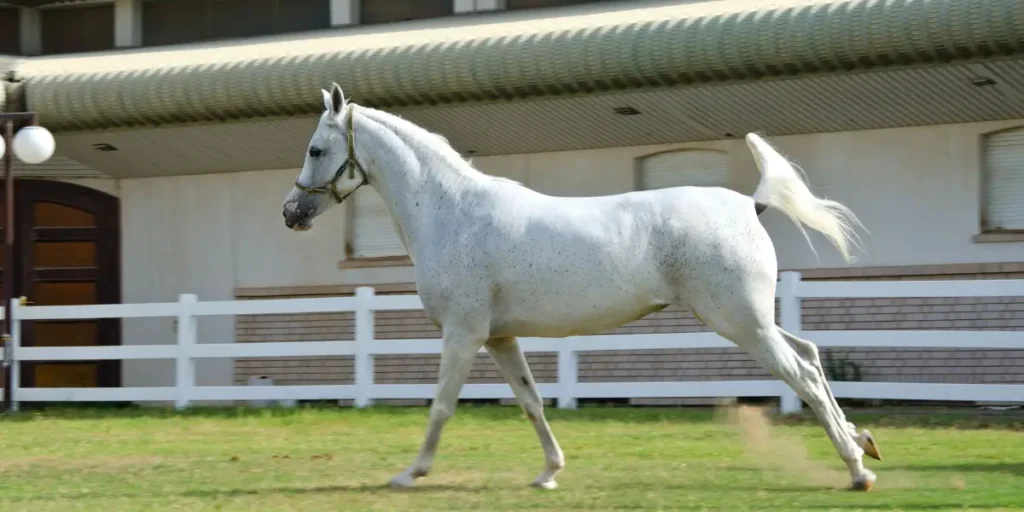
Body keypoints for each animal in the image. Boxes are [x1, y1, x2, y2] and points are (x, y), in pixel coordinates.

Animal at [280, 82, 880, 491]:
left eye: (314, 149)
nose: (291, 213)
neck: (451, 213)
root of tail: (749, 205)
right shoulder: (498, 338)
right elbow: (531, 402)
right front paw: (550, 472)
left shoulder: (462, 333)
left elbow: (442, 405)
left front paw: (412, 472)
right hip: (751, 319)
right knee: (811, 355)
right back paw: (863, 443)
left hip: (741, 322)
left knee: (802, 373)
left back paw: (856, 469)